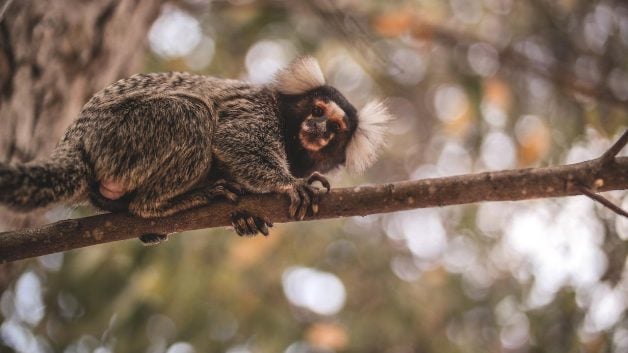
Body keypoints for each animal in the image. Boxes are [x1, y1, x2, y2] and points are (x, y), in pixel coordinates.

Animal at [0, 56, 390, 241]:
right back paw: (161, 204)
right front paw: (290, 183)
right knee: (194, 114)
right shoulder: (256, 110)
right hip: (120, 133)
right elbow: (235, 140)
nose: (318, 129)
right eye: (318, 111)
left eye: (336, 128)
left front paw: (248, 219)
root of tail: (77, 138)